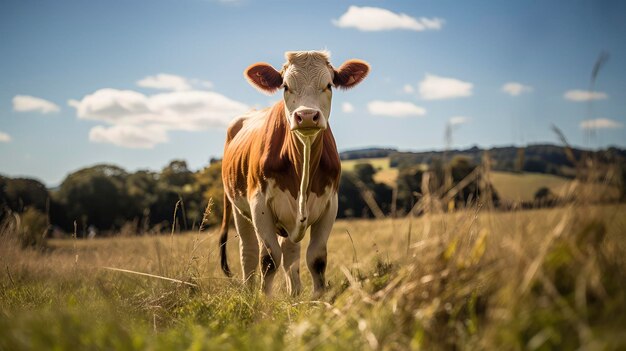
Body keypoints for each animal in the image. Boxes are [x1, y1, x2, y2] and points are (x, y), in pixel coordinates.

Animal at [218, 50, 368, 296]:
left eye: (328, 85)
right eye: (285, 86)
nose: (306, 115)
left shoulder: (330, 205)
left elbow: (316, 258)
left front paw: (318, 297)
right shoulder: (258, 204)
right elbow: (269, 259)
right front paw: (265, 300)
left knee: (290, 252)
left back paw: (294, 293)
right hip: (238, 208)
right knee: (248, 252)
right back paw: (250, 292)